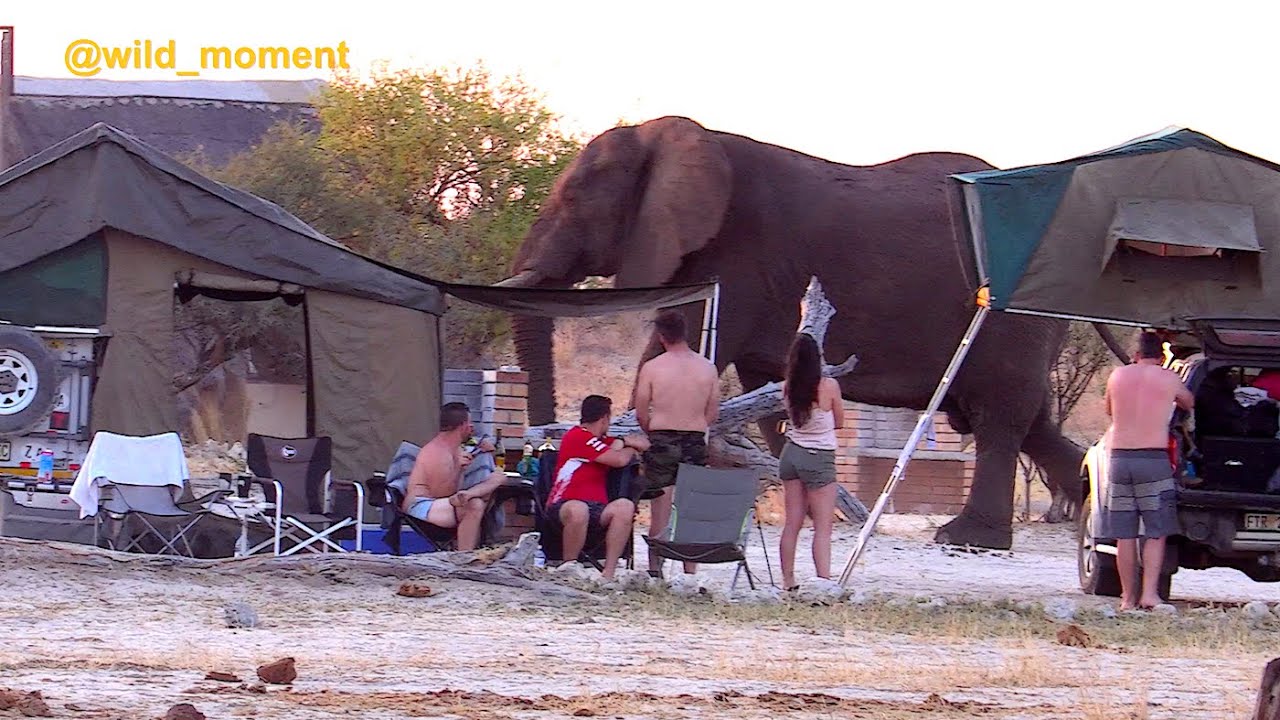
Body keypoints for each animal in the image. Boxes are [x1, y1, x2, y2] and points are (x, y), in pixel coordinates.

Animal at [496, 115, 1094, 550]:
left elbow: (673, 356)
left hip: (1013, 317)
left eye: (574, 201)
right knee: (1031, 422)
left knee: (1002, 418)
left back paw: (967, 540)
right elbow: (771, 393)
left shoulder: (738, 258)